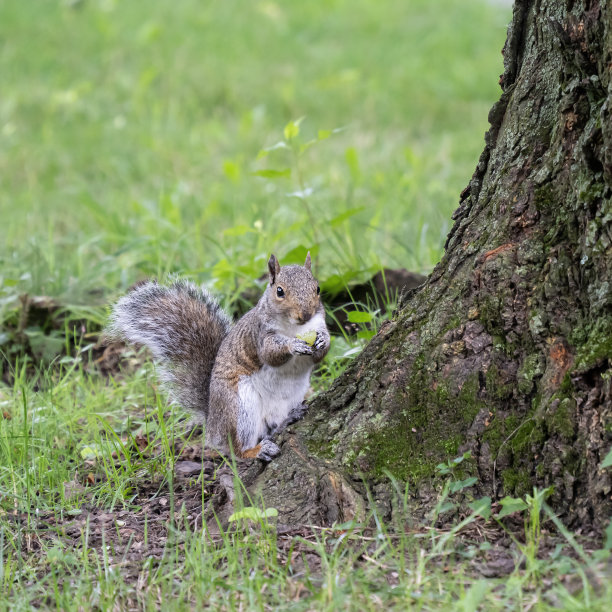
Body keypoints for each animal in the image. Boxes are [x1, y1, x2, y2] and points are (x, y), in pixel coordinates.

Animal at [107, 252, 332, 460]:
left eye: (317, 289)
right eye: (280, 291)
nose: (305, 315)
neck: (295, 328)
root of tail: (213, 425)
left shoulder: (319, 322)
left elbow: (319, 355)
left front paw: (323, 341)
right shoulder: (259, 335)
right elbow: (270, 354)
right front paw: (293, 345)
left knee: (272, 427)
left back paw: (290, 418)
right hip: (239, 407)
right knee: (238, 449)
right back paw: (257, 450)